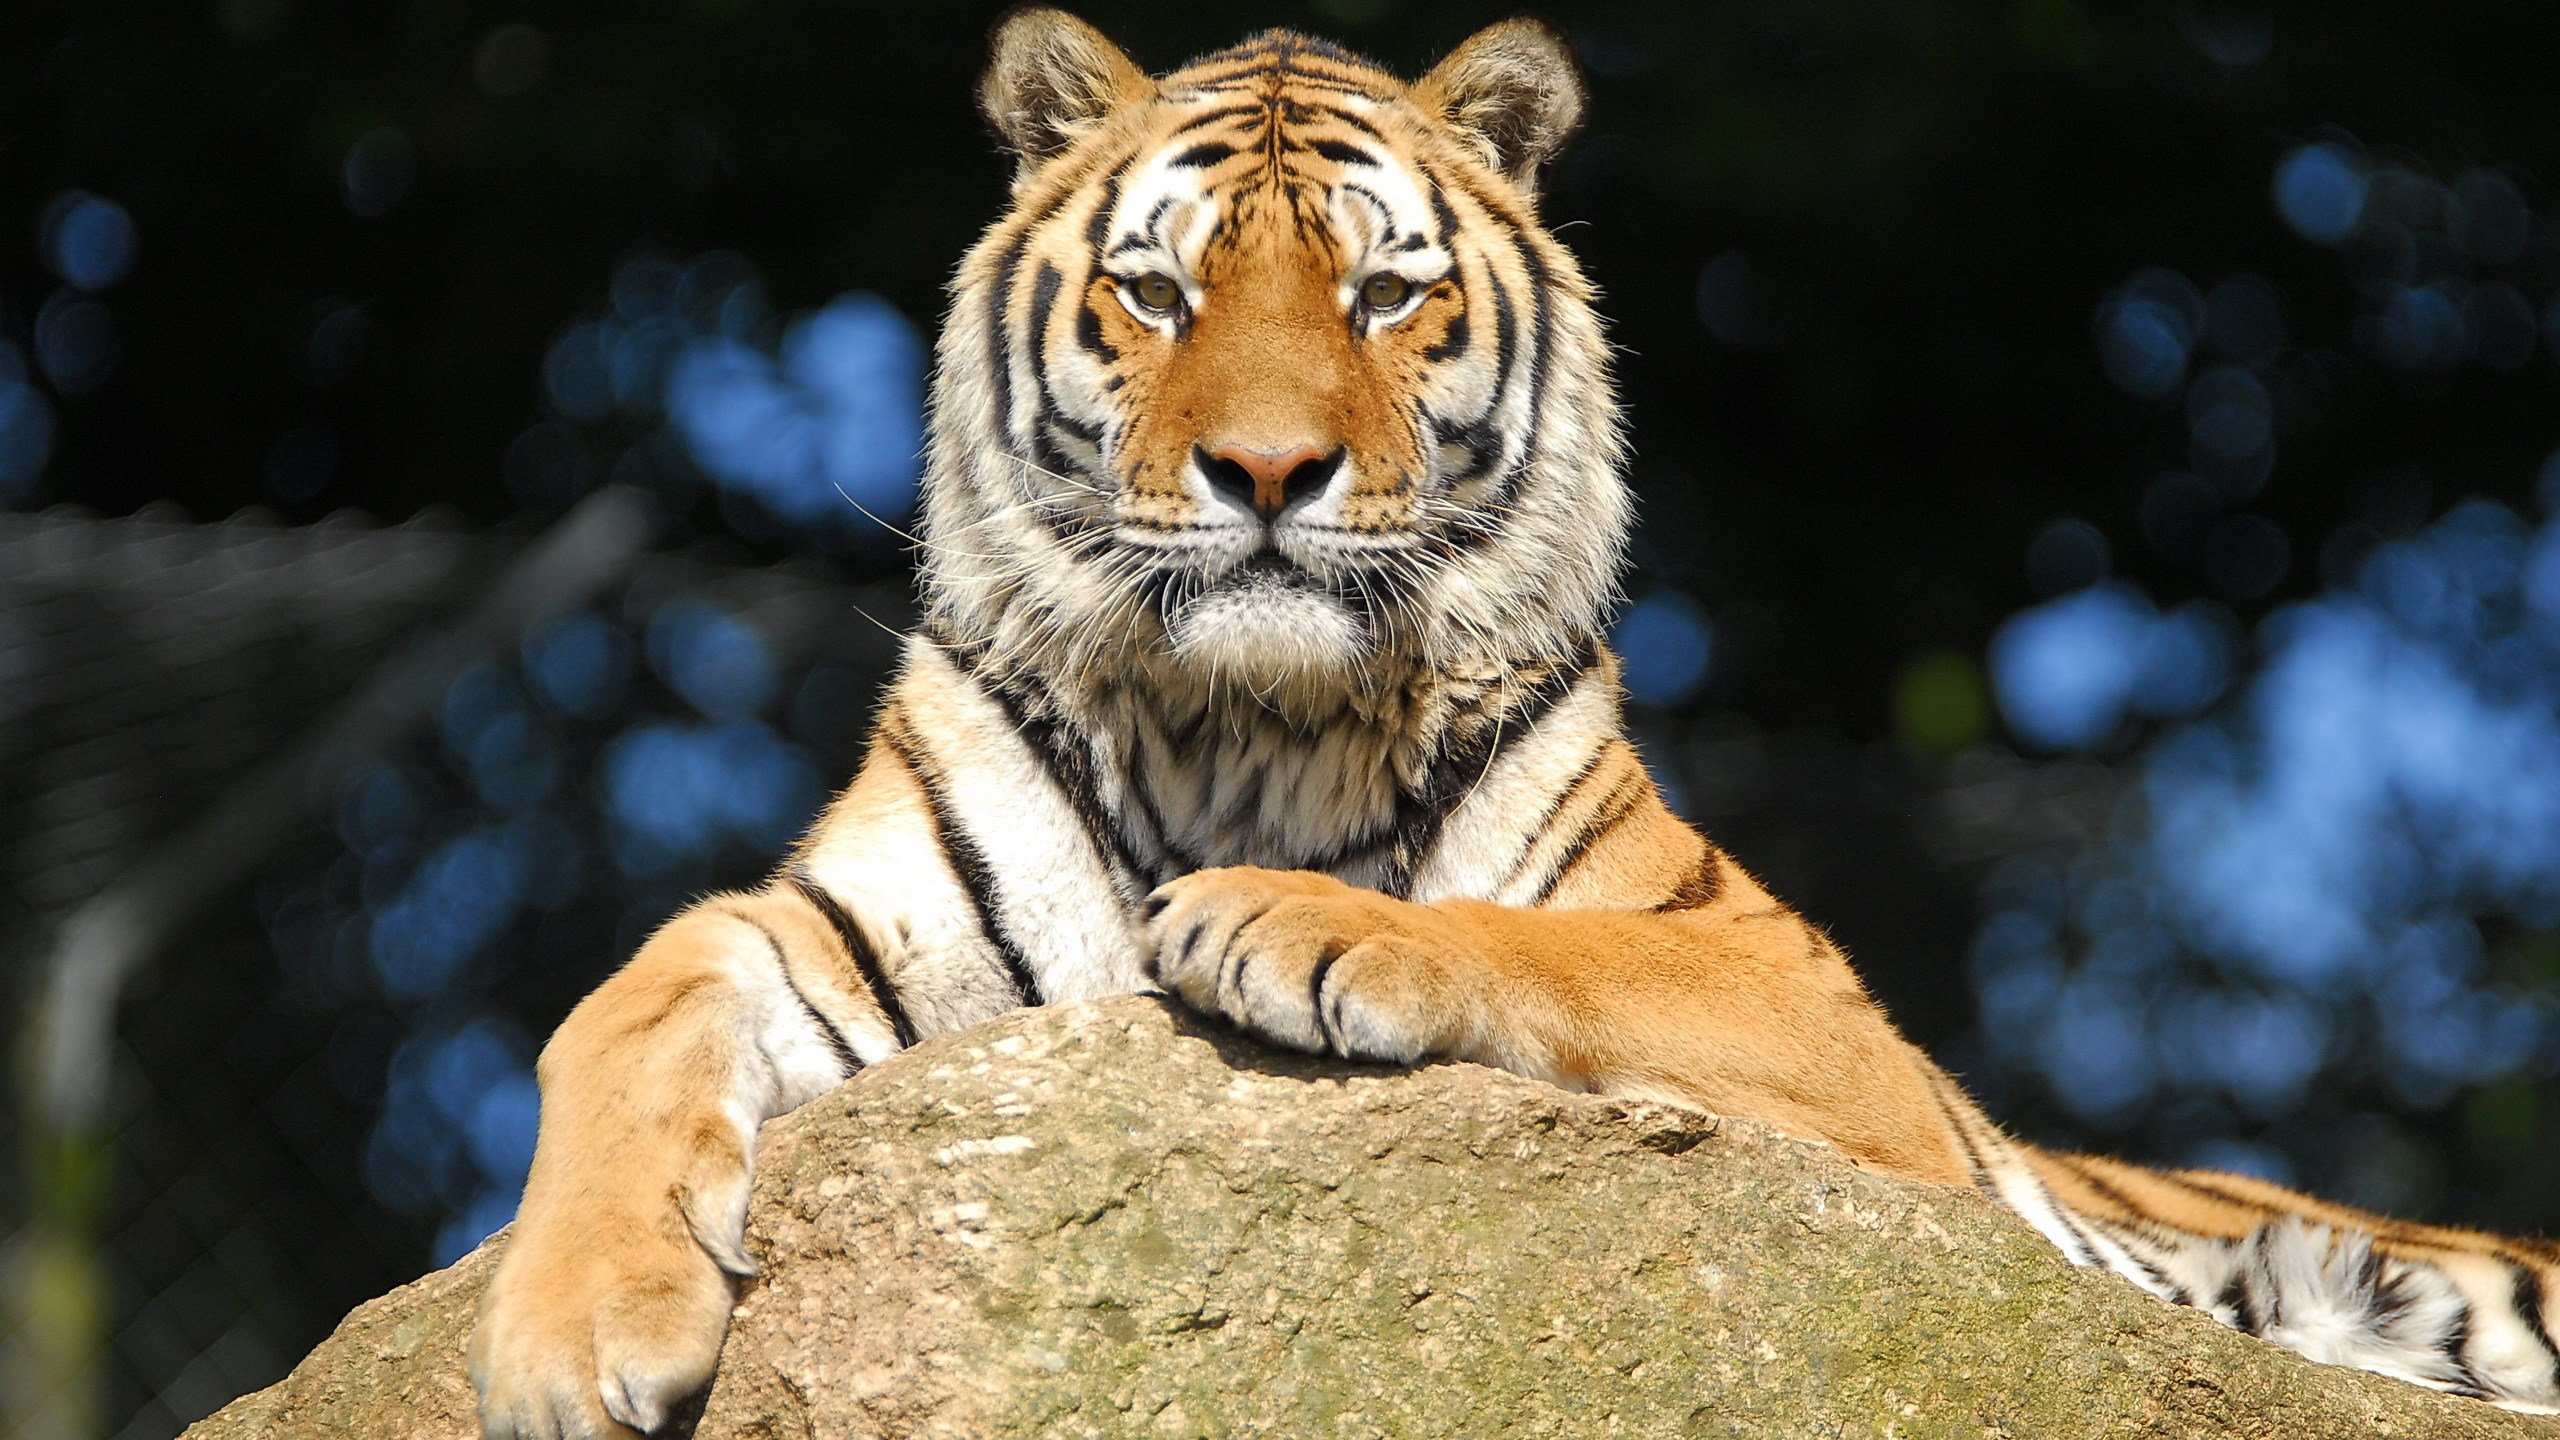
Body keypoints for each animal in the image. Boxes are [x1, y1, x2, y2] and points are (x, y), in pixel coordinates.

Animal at [465, 11, 2560, 1437]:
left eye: (1386, 296)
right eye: (1156, 292)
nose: (1268, 472)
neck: (1241, 726)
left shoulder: (1810, 1007)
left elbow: (1534, 940)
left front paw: (1288, 920)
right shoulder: (854, 937)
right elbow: (627, 993)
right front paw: (573, 1341)